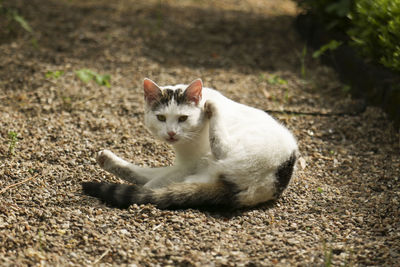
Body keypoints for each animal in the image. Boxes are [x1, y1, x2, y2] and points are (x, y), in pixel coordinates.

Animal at [83, 78, 298, 210]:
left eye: (183, 118)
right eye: (161, 118)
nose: (171, 132)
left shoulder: (189, 162)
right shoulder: (185, 164)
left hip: (235, 149)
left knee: (219, 146)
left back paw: (213, 107)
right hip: (198, 174)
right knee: (150, 179)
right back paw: (107, 160)